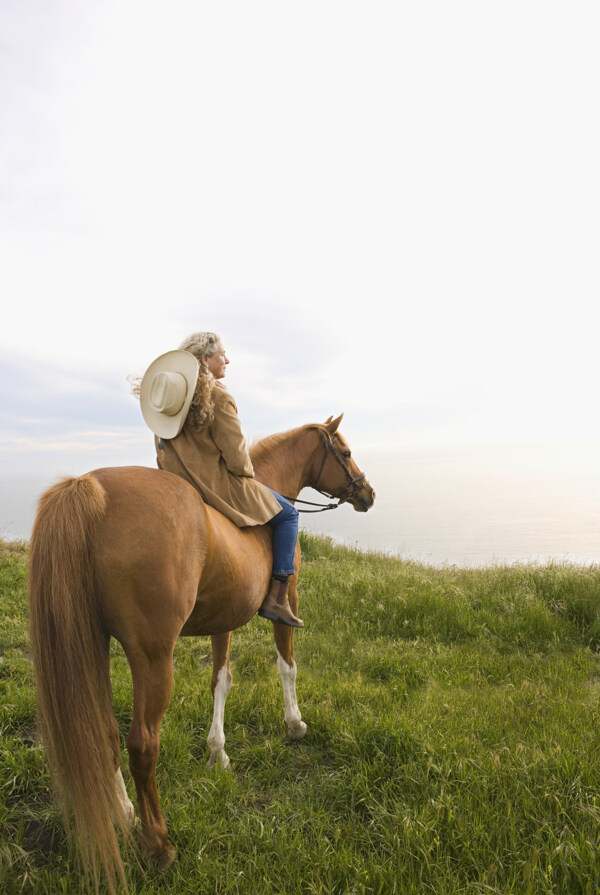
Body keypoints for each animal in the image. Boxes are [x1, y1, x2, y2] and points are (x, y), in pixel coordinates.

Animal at [29, 416, 376, 892]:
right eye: (344, 452)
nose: (367, 493)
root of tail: (90, 489)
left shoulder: (224, 618)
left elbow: (221, 681)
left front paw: (217, 752)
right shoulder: (288, 603)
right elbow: (287, 666)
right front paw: (294, 724)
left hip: (93, 645)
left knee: (102, 731)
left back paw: (123, 814)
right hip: (153, 656)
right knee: (142, 744)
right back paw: (158, 845)